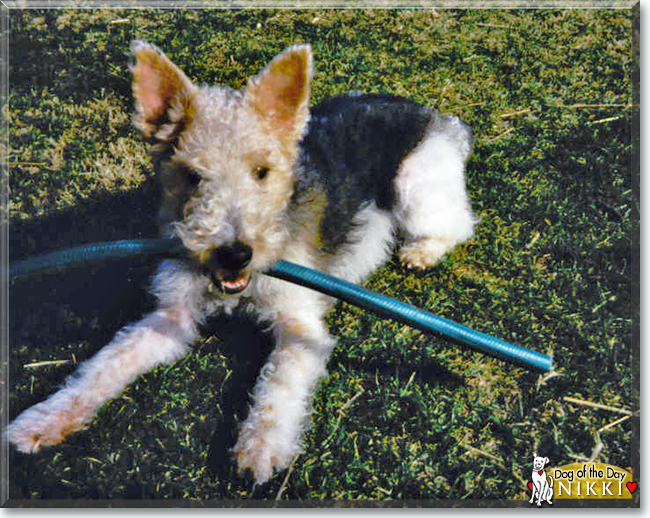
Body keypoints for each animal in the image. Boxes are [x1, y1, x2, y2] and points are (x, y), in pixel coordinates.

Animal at [6, 42, 476, 486]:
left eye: (262, 171)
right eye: (192, 175)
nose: (234, 253)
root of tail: (436, 116)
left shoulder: (300, 324)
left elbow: (278, 387)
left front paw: (261, 450)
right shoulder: (172, 313)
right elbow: (106, 364)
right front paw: (40, 422)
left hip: (415, 185)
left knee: (458, 223)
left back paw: (421, 252)